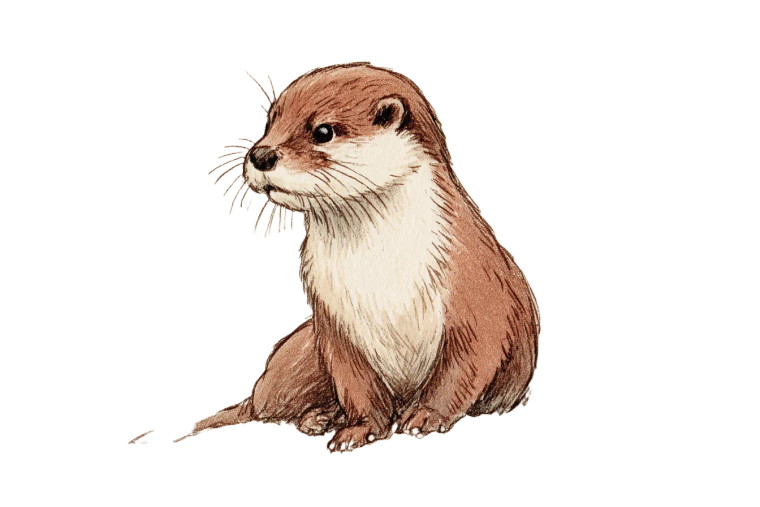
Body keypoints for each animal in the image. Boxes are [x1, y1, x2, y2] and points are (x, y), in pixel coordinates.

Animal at [136, 63, 539, 452]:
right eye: (270, 122)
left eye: (323, 131)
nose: (261, 154)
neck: (380, 274)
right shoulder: (333, 322)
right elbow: (357, 386)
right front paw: (359, 429)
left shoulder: (475, 295)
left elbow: (461, 371)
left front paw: (426, 416)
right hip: (301, 352)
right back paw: (318, 418)